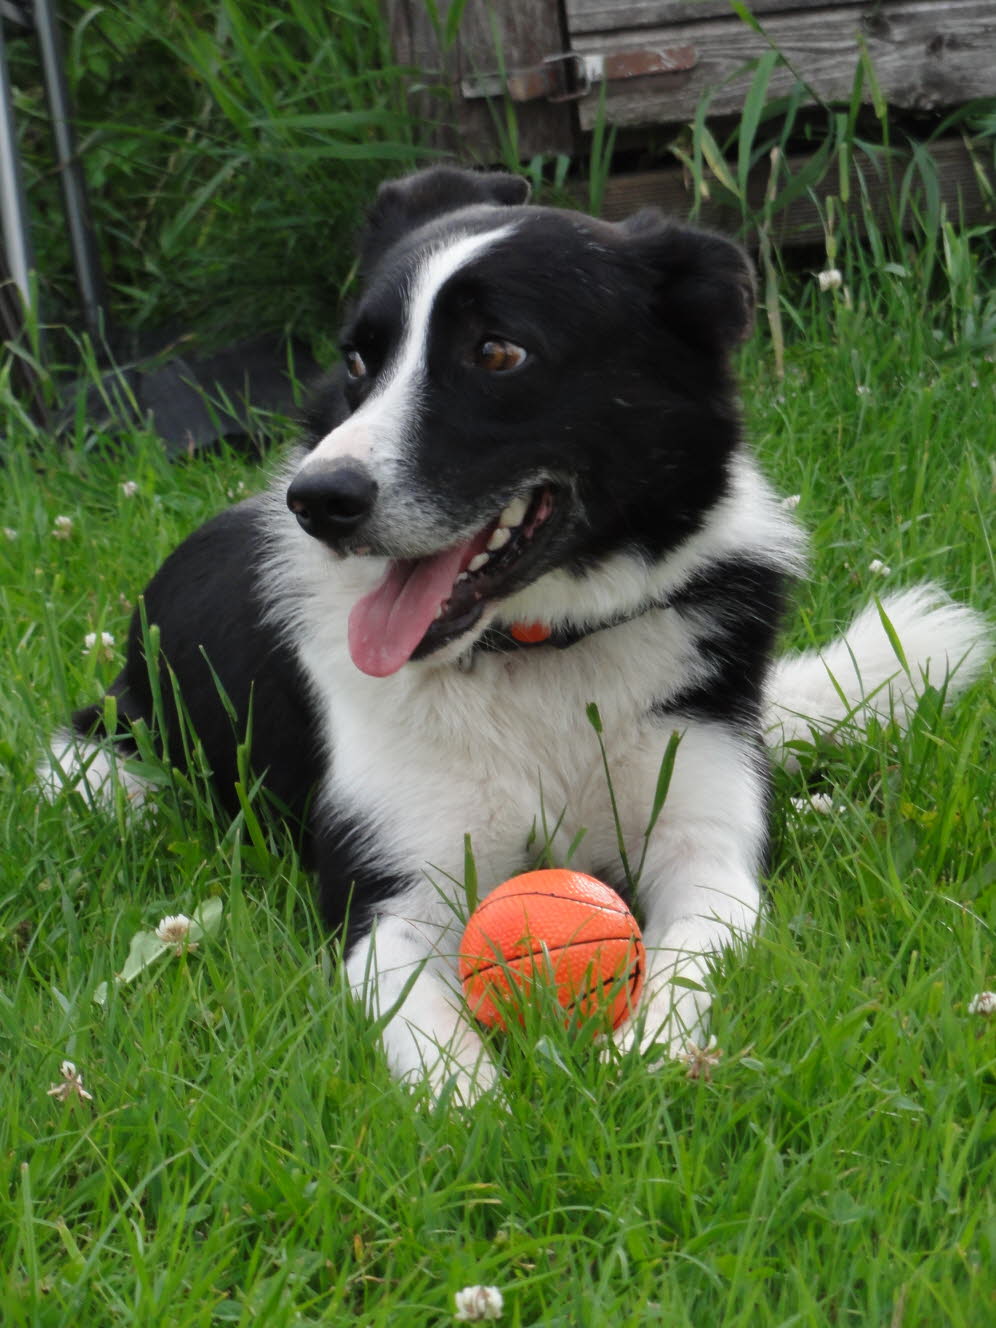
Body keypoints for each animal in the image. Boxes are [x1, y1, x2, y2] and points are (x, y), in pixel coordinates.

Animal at [44, 166, 993, 1099]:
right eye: (359, 359)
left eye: (498, 353)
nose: (317, 501)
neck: (536, 654)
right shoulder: (389, 899)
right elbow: (436, 1049)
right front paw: (482, 1116)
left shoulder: (709, 851)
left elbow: (685, 964)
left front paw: (644, 1058)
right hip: (102, 768)